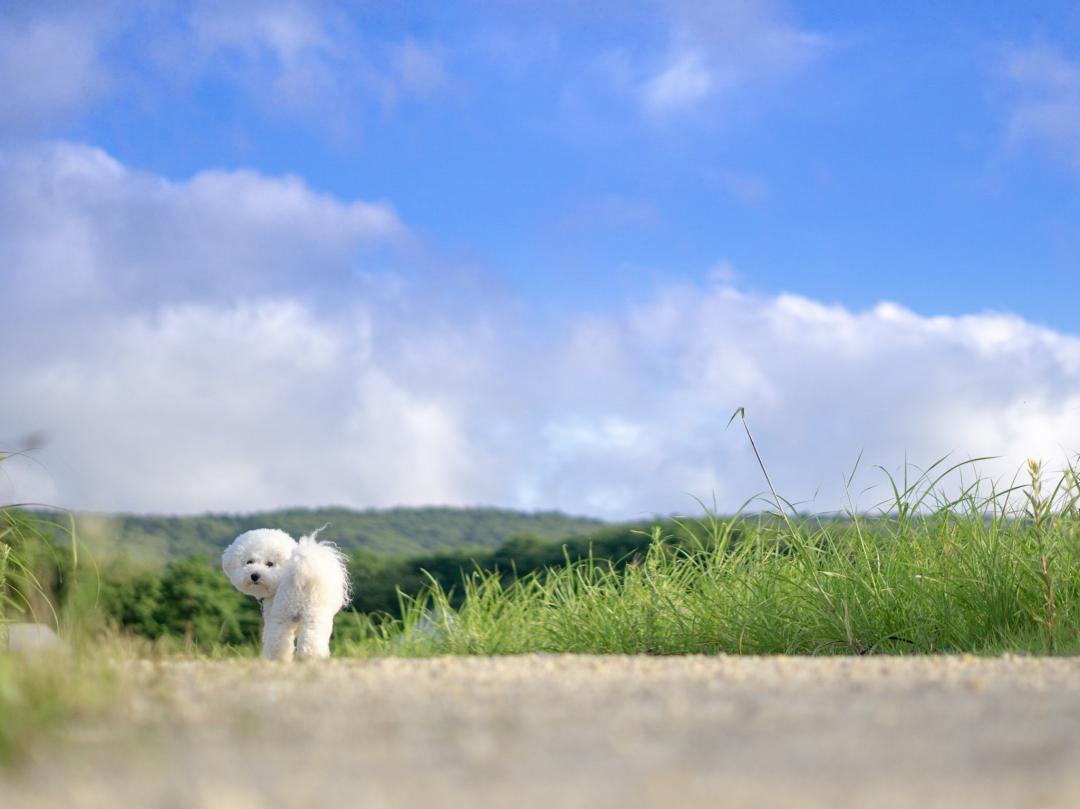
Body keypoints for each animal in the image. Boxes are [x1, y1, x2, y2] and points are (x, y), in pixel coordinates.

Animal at [222, 524, 349, 661]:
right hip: (315, 615)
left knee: (278, 641)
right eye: (249, 562)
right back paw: (311, 658)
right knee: (312, 639)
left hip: (281, 616)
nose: (254, 575)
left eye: (270, 564)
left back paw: (275, 658)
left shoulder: (271, 613)